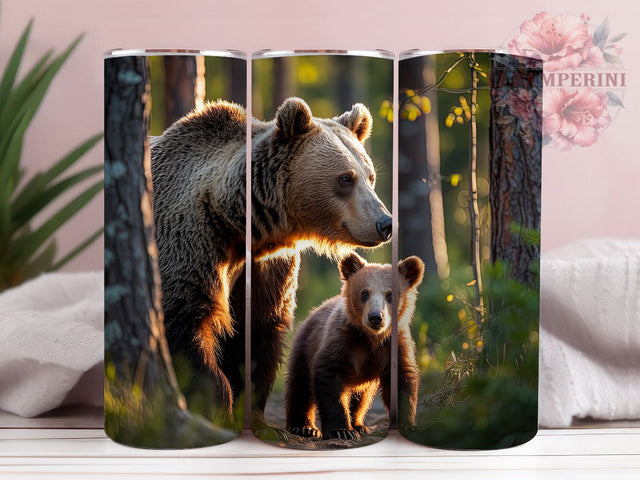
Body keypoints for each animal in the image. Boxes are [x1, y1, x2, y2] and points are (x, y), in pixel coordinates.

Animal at [149, 98, 392, 427]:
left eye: (370, 177)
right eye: (345, 178)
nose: (385, 223)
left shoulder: (266, 268)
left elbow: (259, 333)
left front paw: (252, 413)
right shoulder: (190, 243)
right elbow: (187, 324)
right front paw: (217, 406)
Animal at [285, 252, 424, 440]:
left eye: (390, 294)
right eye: (364, 293)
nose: (375, 317)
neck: (371, 338)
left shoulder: (394, 345)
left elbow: (402, 380)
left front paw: (407, 425)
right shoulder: (342, 340)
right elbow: (328, 375)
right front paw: (341, 430)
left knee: (361, 397)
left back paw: (358, 424)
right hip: (306, 345)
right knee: (300, 385)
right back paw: (304, 427)